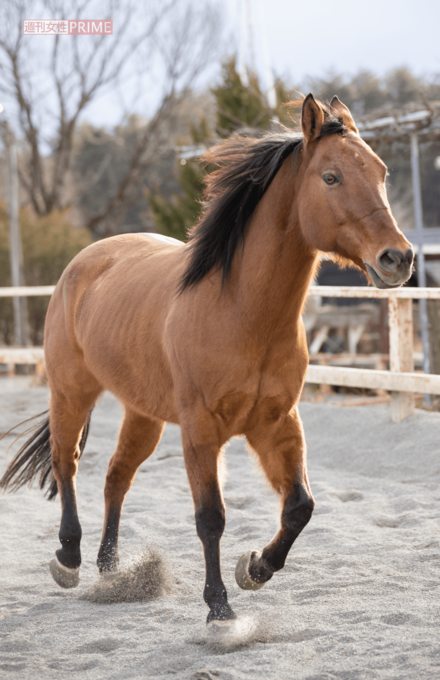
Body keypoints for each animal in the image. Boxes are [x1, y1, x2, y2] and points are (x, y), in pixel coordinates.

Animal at [0, 95, 413, 625]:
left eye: (381, 172)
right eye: (331, 177)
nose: (397, 259)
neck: (239, 311)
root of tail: (84, 261)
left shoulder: (277, 422)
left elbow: (300, 506)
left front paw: (256, 568)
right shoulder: (201, 430)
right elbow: (210, 517)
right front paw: (219, 607)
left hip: (144, 414)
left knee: (116, 476)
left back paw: (110, 567)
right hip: (71, 393)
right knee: (66, 463)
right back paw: (69, 558)